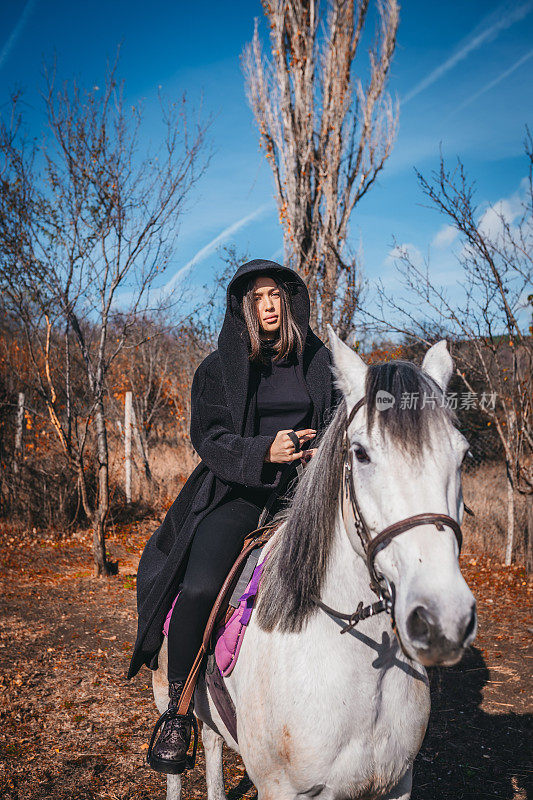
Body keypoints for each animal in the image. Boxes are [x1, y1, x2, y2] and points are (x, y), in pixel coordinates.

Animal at [152, 328, 476, 796]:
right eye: (360, 453)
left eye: (463, 455)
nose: (442, 620)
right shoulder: (280, 788)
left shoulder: (398, 782)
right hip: (164, 689)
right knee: (177, 762)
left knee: (212, 744)